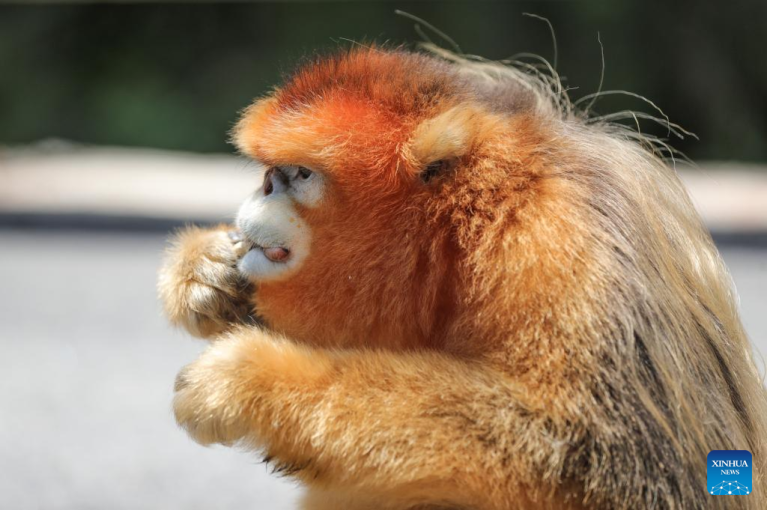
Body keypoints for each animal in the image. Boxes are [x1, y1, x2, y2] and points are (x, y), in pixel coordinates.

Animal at [158, 45, 767, 509]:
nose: (264, 187)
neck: (469, 220)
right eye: (269, 173)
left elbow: (600, 464)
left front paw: (248, 381)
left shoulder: (561, 244)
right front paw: (207, 271)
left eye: (299, 175)